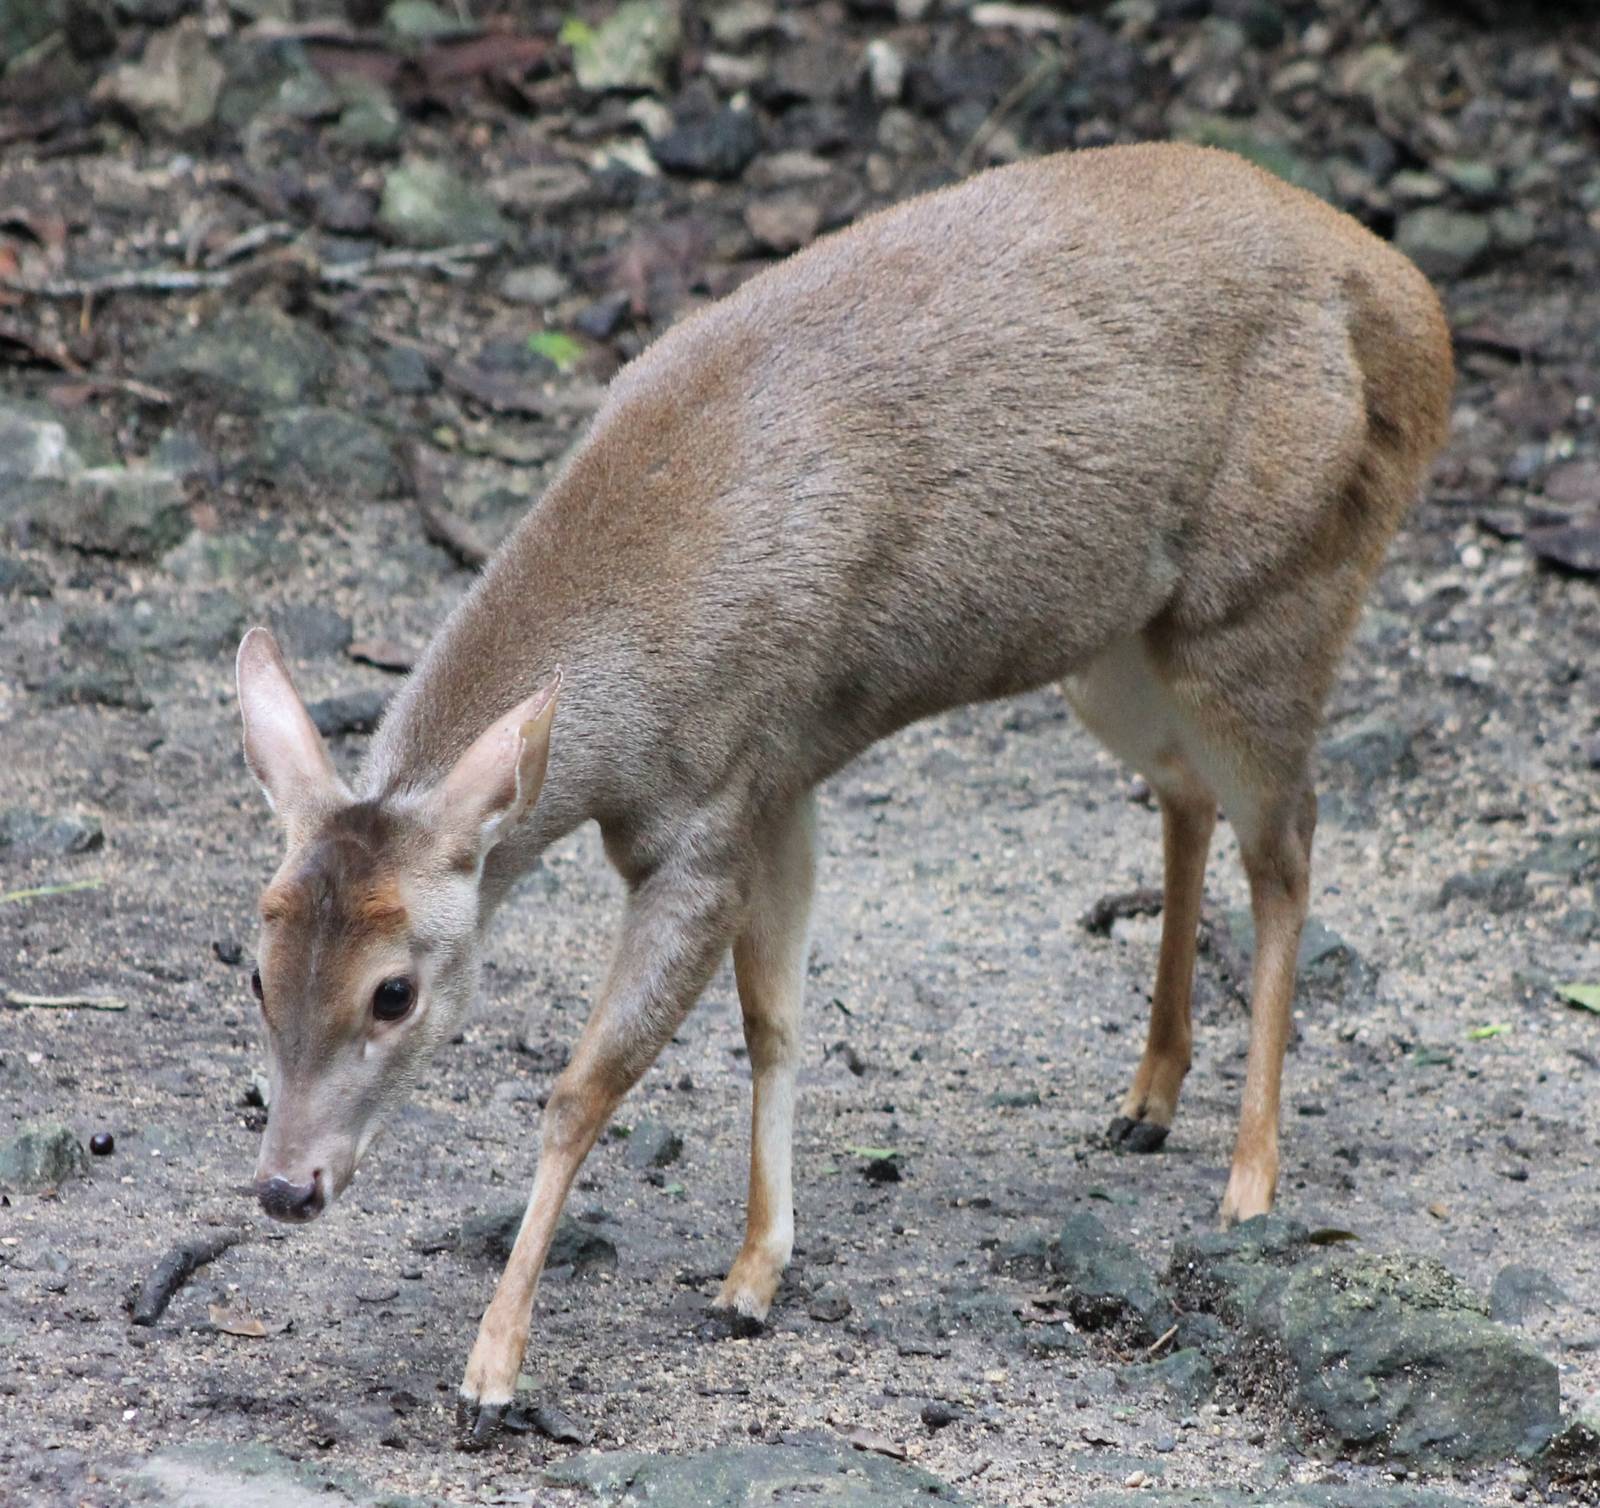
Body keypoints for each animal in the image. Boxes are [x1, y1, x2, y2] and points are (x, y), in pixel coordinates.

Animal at [234, 142, 1453, 1446]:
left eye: (395, 990)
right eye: (254, 967)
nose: (285, 1184)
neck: (625, 697)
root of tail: (1418, 317)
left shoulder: (706, 810)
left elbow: (584, 1083)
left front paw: (492, 1370)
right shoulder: (779, 780)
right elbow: (775, 1015)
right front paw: (754, 1271)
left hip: (1275, 598)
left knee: (1289, 848)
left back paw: (1247, 1182)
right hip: (1117, 649)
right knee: (1184, 793)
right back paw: (1146, 1096)